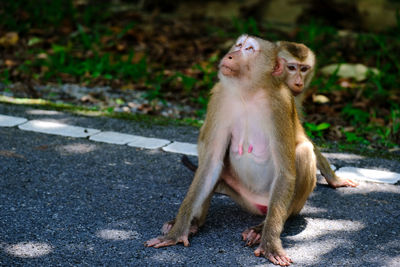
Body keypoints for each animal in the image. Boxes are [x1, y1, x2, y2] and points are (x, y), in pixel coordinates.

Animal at [145, 35, 318, 266]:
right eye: (238, 45)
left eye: (249, 49)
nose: (229, 55)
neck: (248, 93)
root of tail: (259, 206)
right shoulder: (220, 97)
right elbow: (211, 163)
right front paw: (177, 232)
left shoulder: (280, 103)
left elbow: (285, 172)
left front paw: (270, 244)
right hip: (241, 195)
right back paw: (194, 223)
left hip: (285, 204)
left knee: (304, 151)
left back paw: (261, 229)